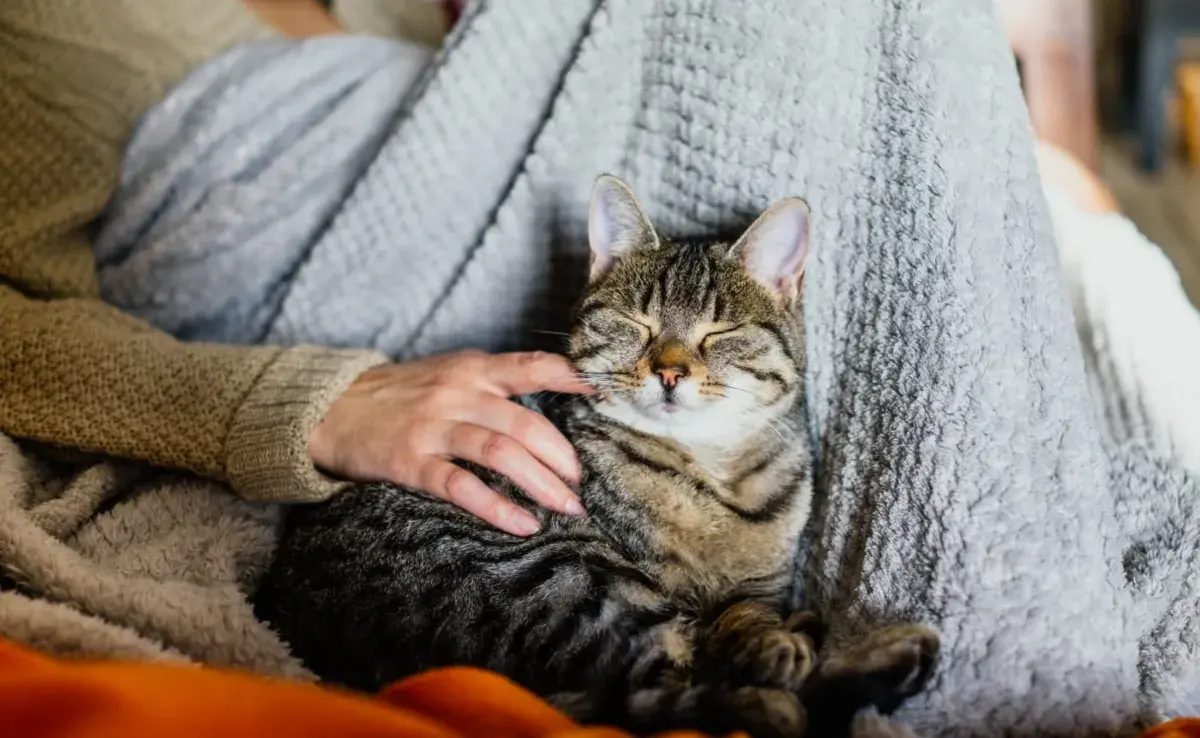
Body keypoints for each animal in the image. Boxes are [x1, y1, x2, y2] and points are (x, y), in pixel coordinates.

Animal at [253, 175, 936, 738]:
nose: (669, 371)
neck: (715, 474)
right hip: (562, 573)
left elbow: (746, 612)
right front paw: (776, 647)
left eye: (717, 333)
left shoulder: (761, 585)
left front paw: (770, 632)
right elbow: (723, 641)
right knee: (687, 691)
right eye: (638, 323)